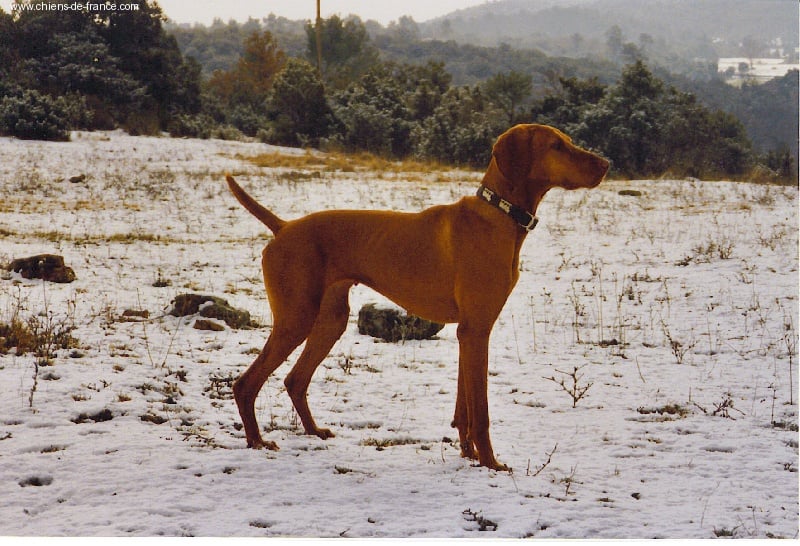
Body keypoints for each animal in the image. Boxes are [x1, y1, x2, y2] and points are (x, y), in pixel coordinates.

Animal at [225, 123, 608, 468]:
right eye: (556, 146)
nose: (606, 163)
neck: (499, 214)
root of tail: (284, 227)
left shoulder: (467, 332)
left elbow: (463, 407)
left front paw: (468, 454)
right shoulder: (477, 330)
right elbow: (481, 412)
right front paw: (491, 463)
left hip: (329, 321)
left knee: (295, 379)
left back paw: (313, 431)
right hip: (296, 319)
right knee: (246, 384)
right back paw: (257, 441)